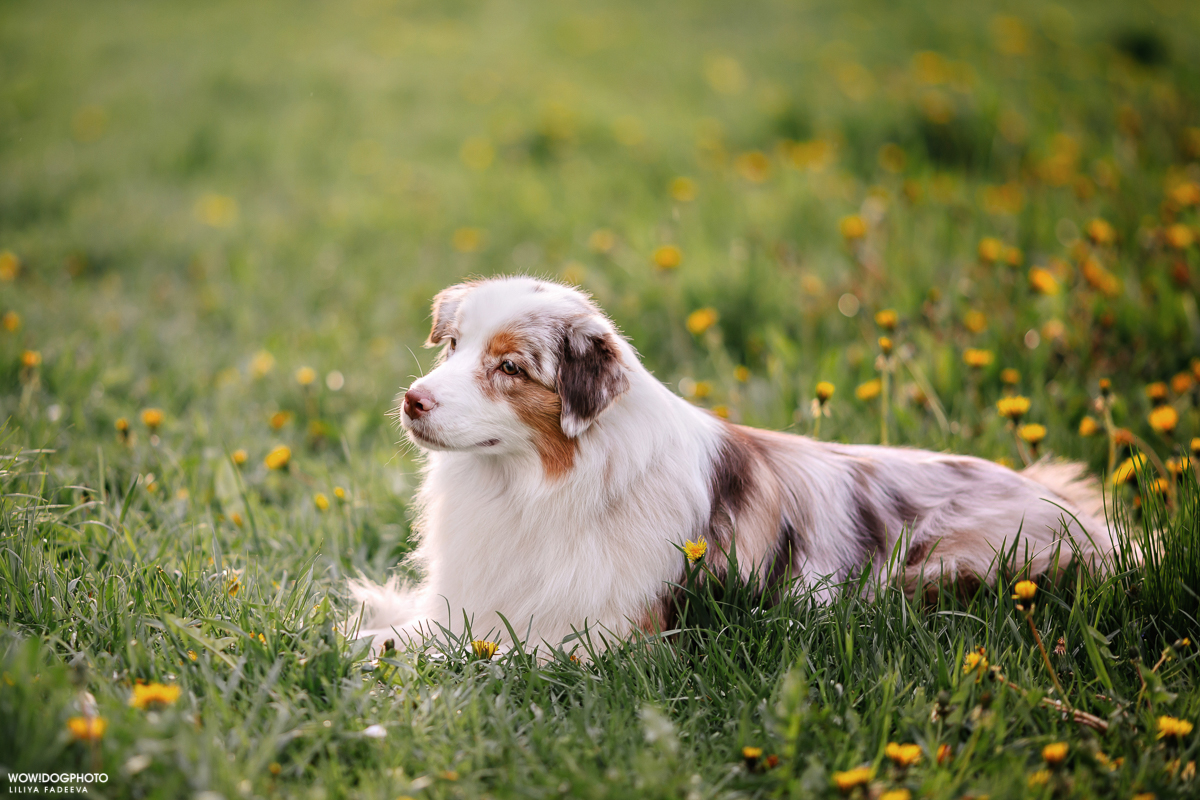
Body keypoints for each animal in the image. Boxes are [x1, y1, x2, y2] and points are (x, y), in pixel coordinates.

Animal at [348, 275, 1113, 652]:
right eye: (453, 346)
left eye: (509, 367)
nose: (413, 401)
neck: (536, 483)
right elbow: (395, 633)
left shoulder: (593, 638)